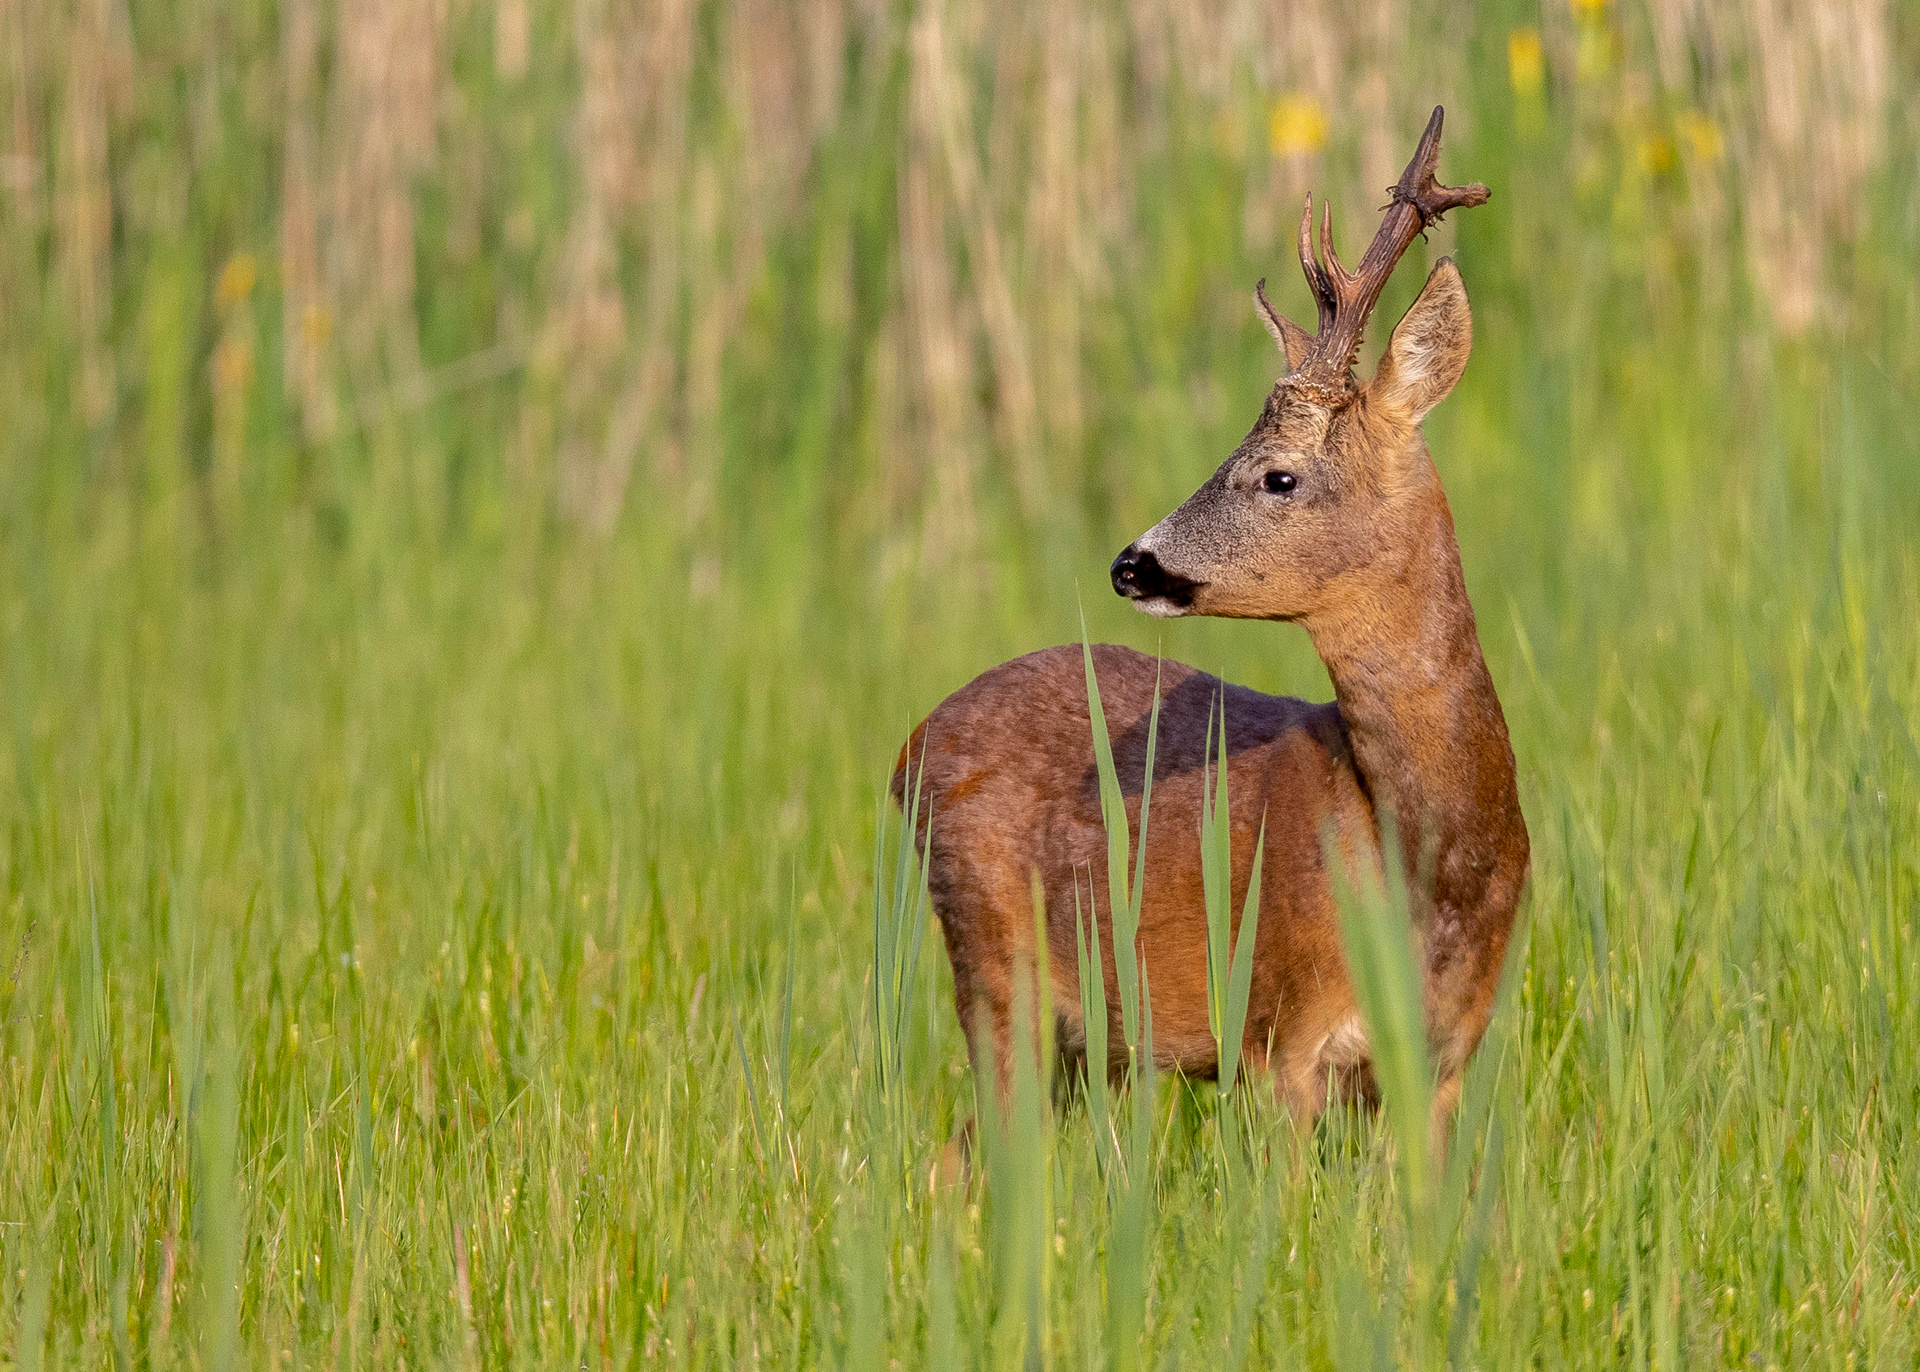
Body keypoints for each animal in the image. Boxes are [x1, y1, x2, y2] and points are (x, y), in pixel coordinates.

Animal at [893, 107, 1527, 1144]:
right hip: (993, 959)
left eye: (1277, 474)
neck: (1431, 865)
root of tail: (911, 745)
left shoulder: (1442, 1065)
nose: (1131, 563)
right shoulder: (1278, 1034)